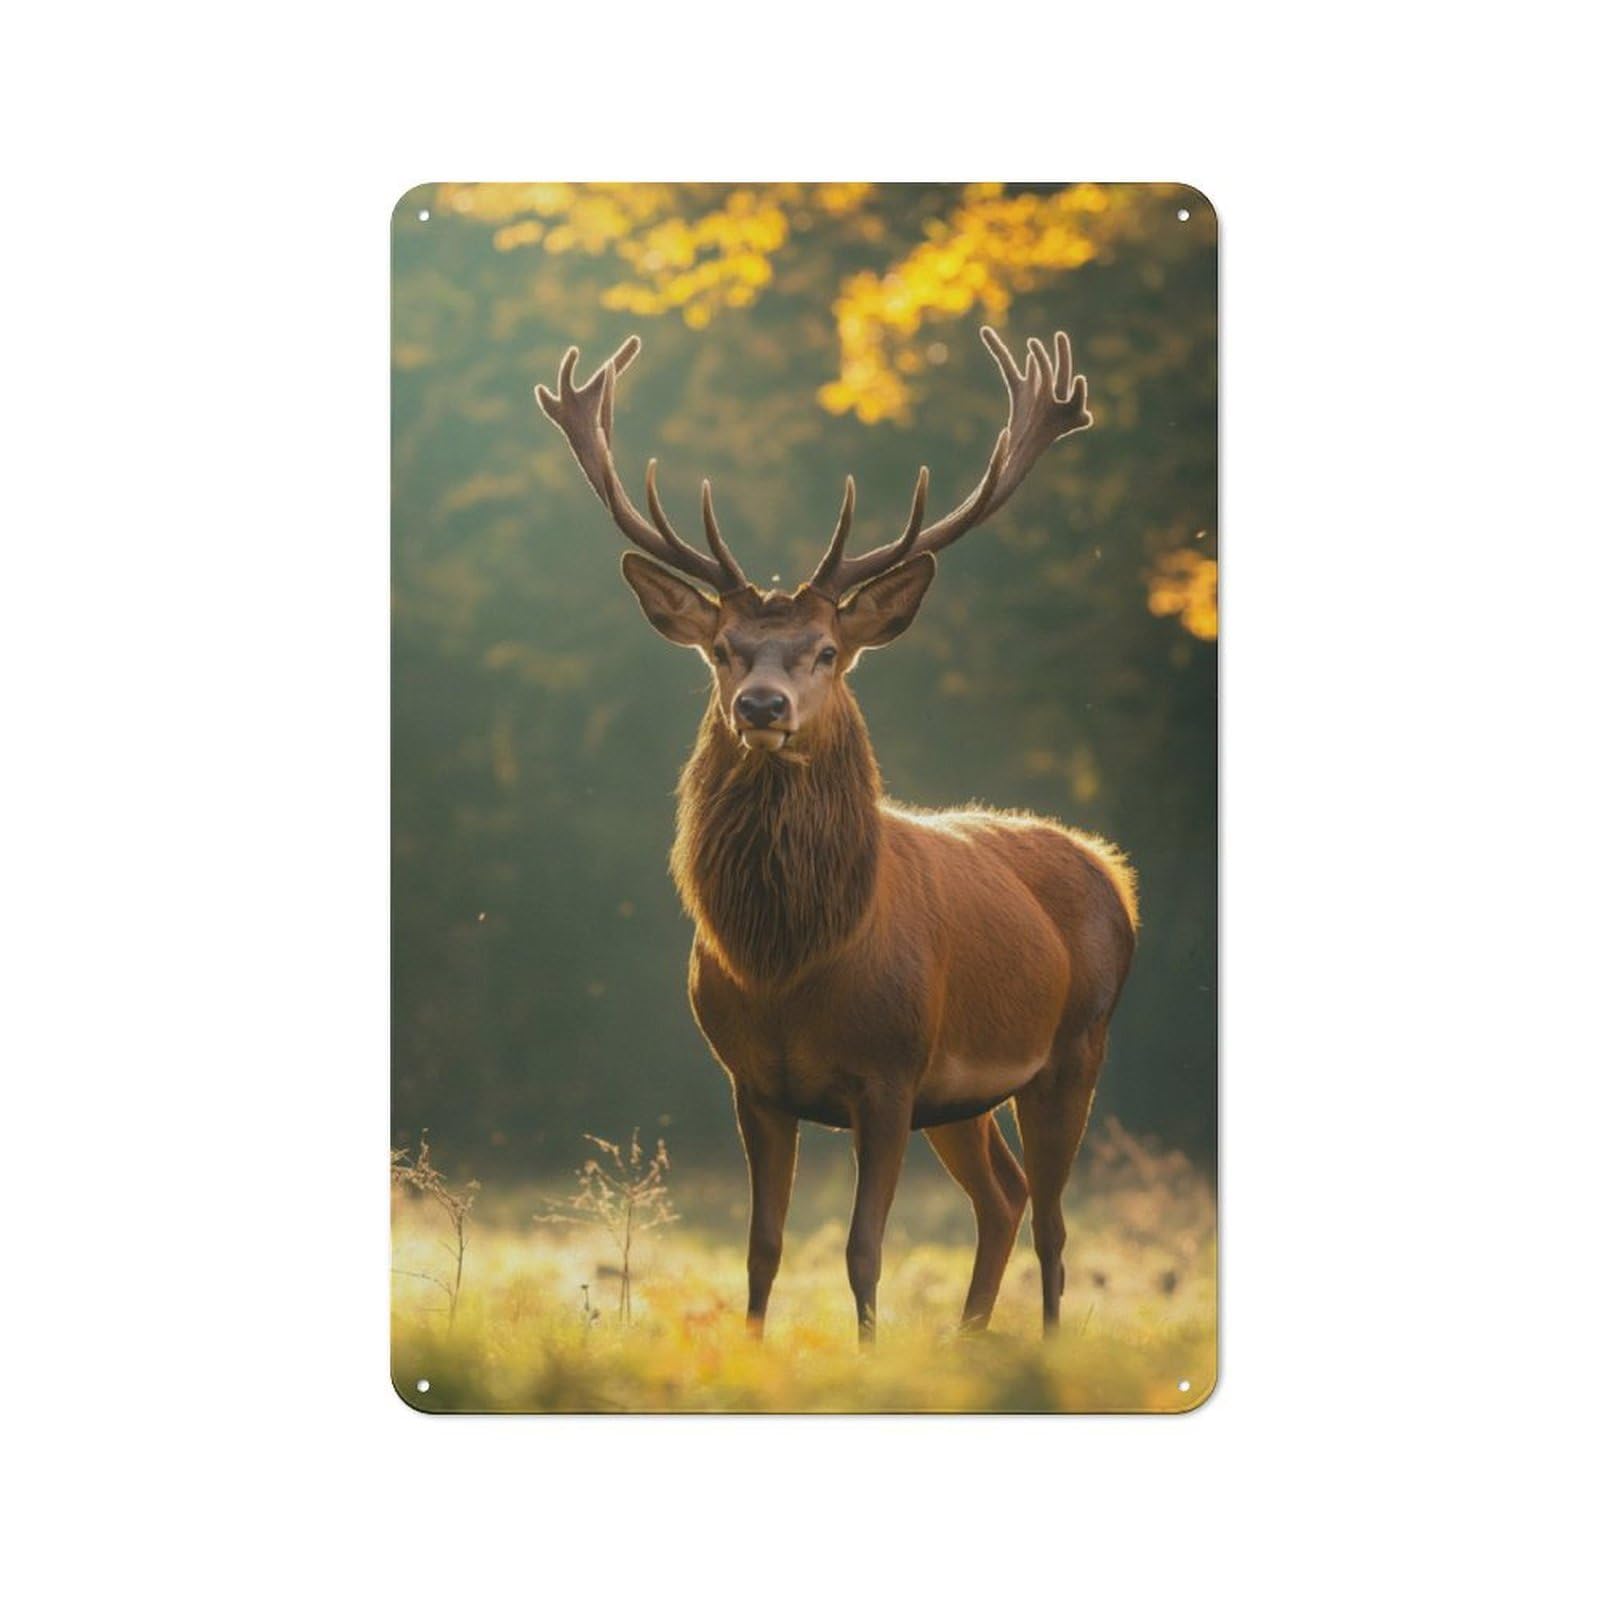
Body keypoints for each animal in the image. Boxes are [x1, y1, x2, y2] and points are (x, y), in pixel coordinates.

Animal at [536, 325, 1137, 1343]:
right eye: (723, 649)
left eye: (826, 652)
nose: (762, 705)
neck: (793, 963)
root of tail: (1111, 870)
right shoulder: (753, 1083)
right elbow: (763, 1247)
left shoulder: (890, 1074)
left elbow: (863, 1249)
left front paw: (868, 1355)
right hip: (964, 1098)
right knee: (1005, 1198)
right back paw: (969, 1341)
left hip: (1074, 1047)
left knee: (1054, 1222)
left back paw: (1044, 1345)